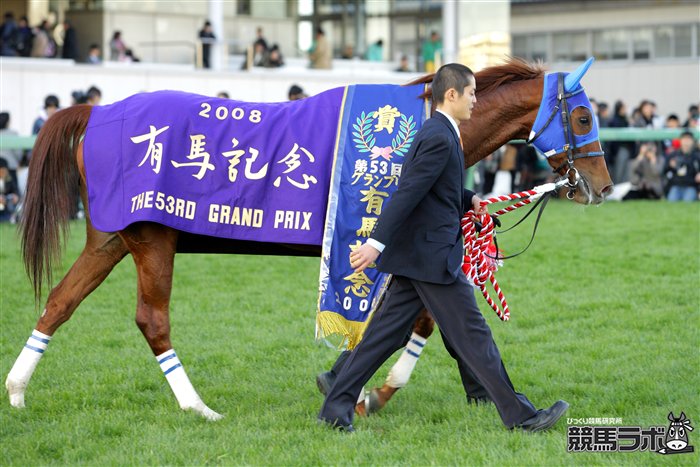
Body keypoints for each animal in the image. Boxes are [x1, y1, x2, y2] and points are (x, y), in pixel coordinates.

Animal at [5, 58, 613, 421]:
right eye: (583, 116)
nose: (601, 187)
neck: (420, 125)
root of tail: (99, 112)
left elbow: (424, 317)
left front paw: (357, 384)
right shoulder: (387, 243)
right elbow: (421, 318)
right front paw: (371, 389)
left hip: (111, 238)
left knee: (59, 302)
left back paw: (15, 389)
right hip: (153, 238)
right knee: (151, 320)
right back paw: (198, 407)